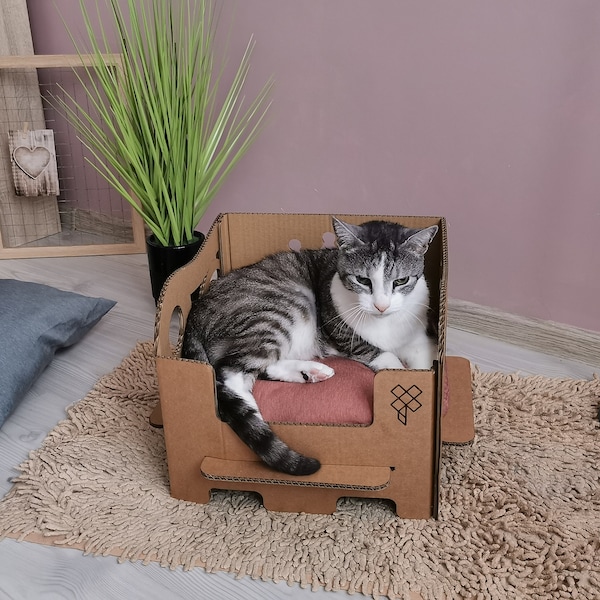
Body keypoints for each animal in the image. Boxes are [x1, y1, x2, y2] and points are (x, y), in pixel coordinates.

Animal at [180, 218, 438, 476]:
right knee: (229, 372)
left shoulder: (419, 340)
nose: (381, 306)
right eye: (363, 280)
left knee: (260, 366)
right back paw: (255, 414)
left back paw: (310, 372)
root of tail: (197, 310)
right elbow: (384, 357)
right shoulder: (345, 335)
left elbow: (423, 367)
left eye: (401, 281)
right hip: (283, 305)